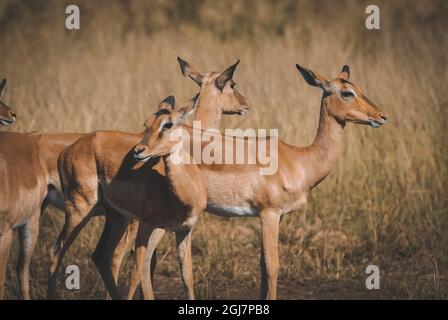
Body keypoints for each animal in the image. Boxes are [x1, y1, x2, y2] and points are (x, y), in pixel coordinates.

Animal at [47, 58, 250, 300]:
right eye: (232, 84)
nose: (245, 104)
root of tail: (65, 152)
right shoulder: (152, 227)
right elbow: (141, 266)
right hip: (82, 212)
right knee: (61, 252)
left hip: (115, 219)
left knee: (101, 256)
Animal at [122, 63, 384, 300]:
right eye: (346, 92)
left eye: (358, 88)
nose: (381, 116)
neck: (299, 159)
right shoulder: (269, 213)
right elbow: (273, 266)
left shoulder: (275, 216)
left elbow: (263, 268)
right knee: (139, 258)